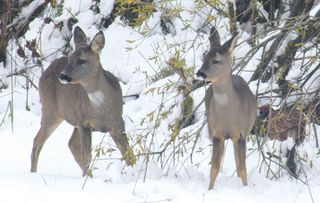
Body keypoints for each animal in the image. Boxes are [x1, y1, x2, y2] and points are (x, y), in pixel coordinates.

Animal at [31, 27, 137, 176]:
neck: (101, 109)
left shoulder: (117, 122)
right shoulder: (84, 122)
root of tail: (46, 71)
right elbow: (87, 155)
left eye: (81, 60)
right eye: (70, 58)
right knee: (37, 141)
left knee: (71, 144)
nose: (62, 76)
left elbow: (128, 152)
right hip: (50, 109)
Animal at [195, 26, 258, 189]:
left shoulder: (241, 134)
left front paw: (245, 189)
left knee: (237, 162)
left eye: (216, 60)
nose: (200, 73)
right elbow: (214, 168)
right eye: (204, 57)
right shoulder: (216, 134)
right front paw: (210, 190)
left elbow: (242, 168)